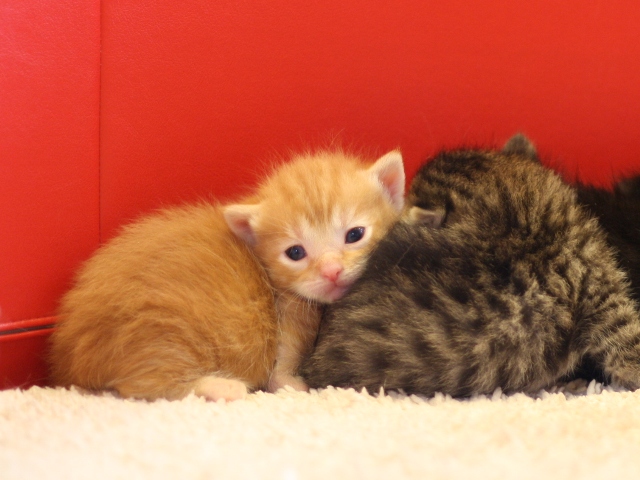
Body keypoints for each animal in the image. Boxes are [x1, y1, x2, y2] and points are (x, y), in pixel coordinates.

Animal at [48, 150, 404, 402]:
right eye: (295, 253)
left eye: (355, 234)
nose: (331, 271)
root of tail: (70, 353)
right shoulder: (288, 315)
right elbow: (281, 364)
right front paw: (291, 383)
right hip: (163, 330)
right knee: (141, 384)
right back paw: (222, 387)